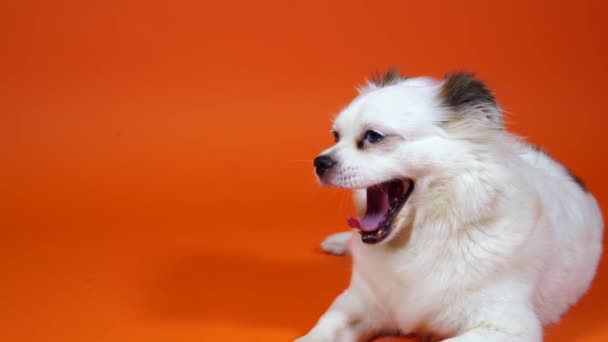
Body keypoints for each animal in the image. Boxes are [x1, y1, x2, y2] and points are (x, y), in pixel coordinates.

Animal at [296, 70, 604, 342]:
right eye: (336, 136)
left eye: (373, 136)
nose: (319, 162)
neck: (421, 237)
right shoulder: (357, 303)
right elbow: (324, 327)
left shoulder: (508, 328)